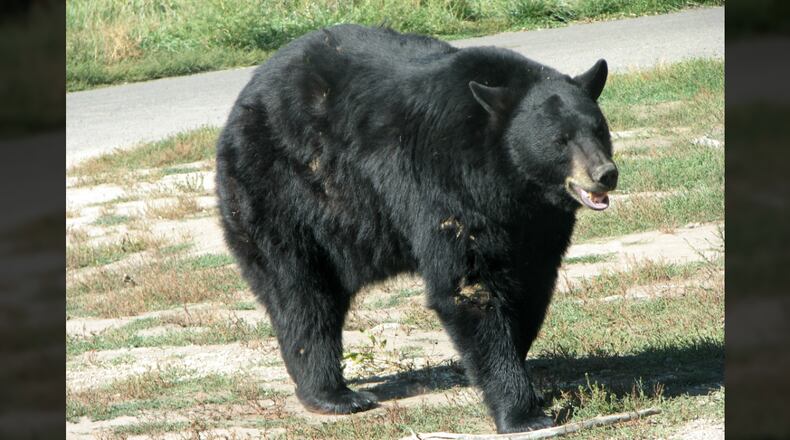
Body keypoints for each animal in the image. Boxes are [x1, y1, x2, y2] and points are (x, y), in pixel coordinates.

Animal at [215, 24, 618, 433]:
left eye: (599, 128)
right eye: (560, 140)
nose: (605, 174)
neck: (508, 180)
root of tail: (245, 97)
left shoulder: (537, 222)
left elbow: (532, 284)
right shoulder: (446, 184)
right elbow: (468, 286)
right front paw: (521, 412)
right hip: (282, 192)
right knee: (301, 293)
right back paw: (334, 394)